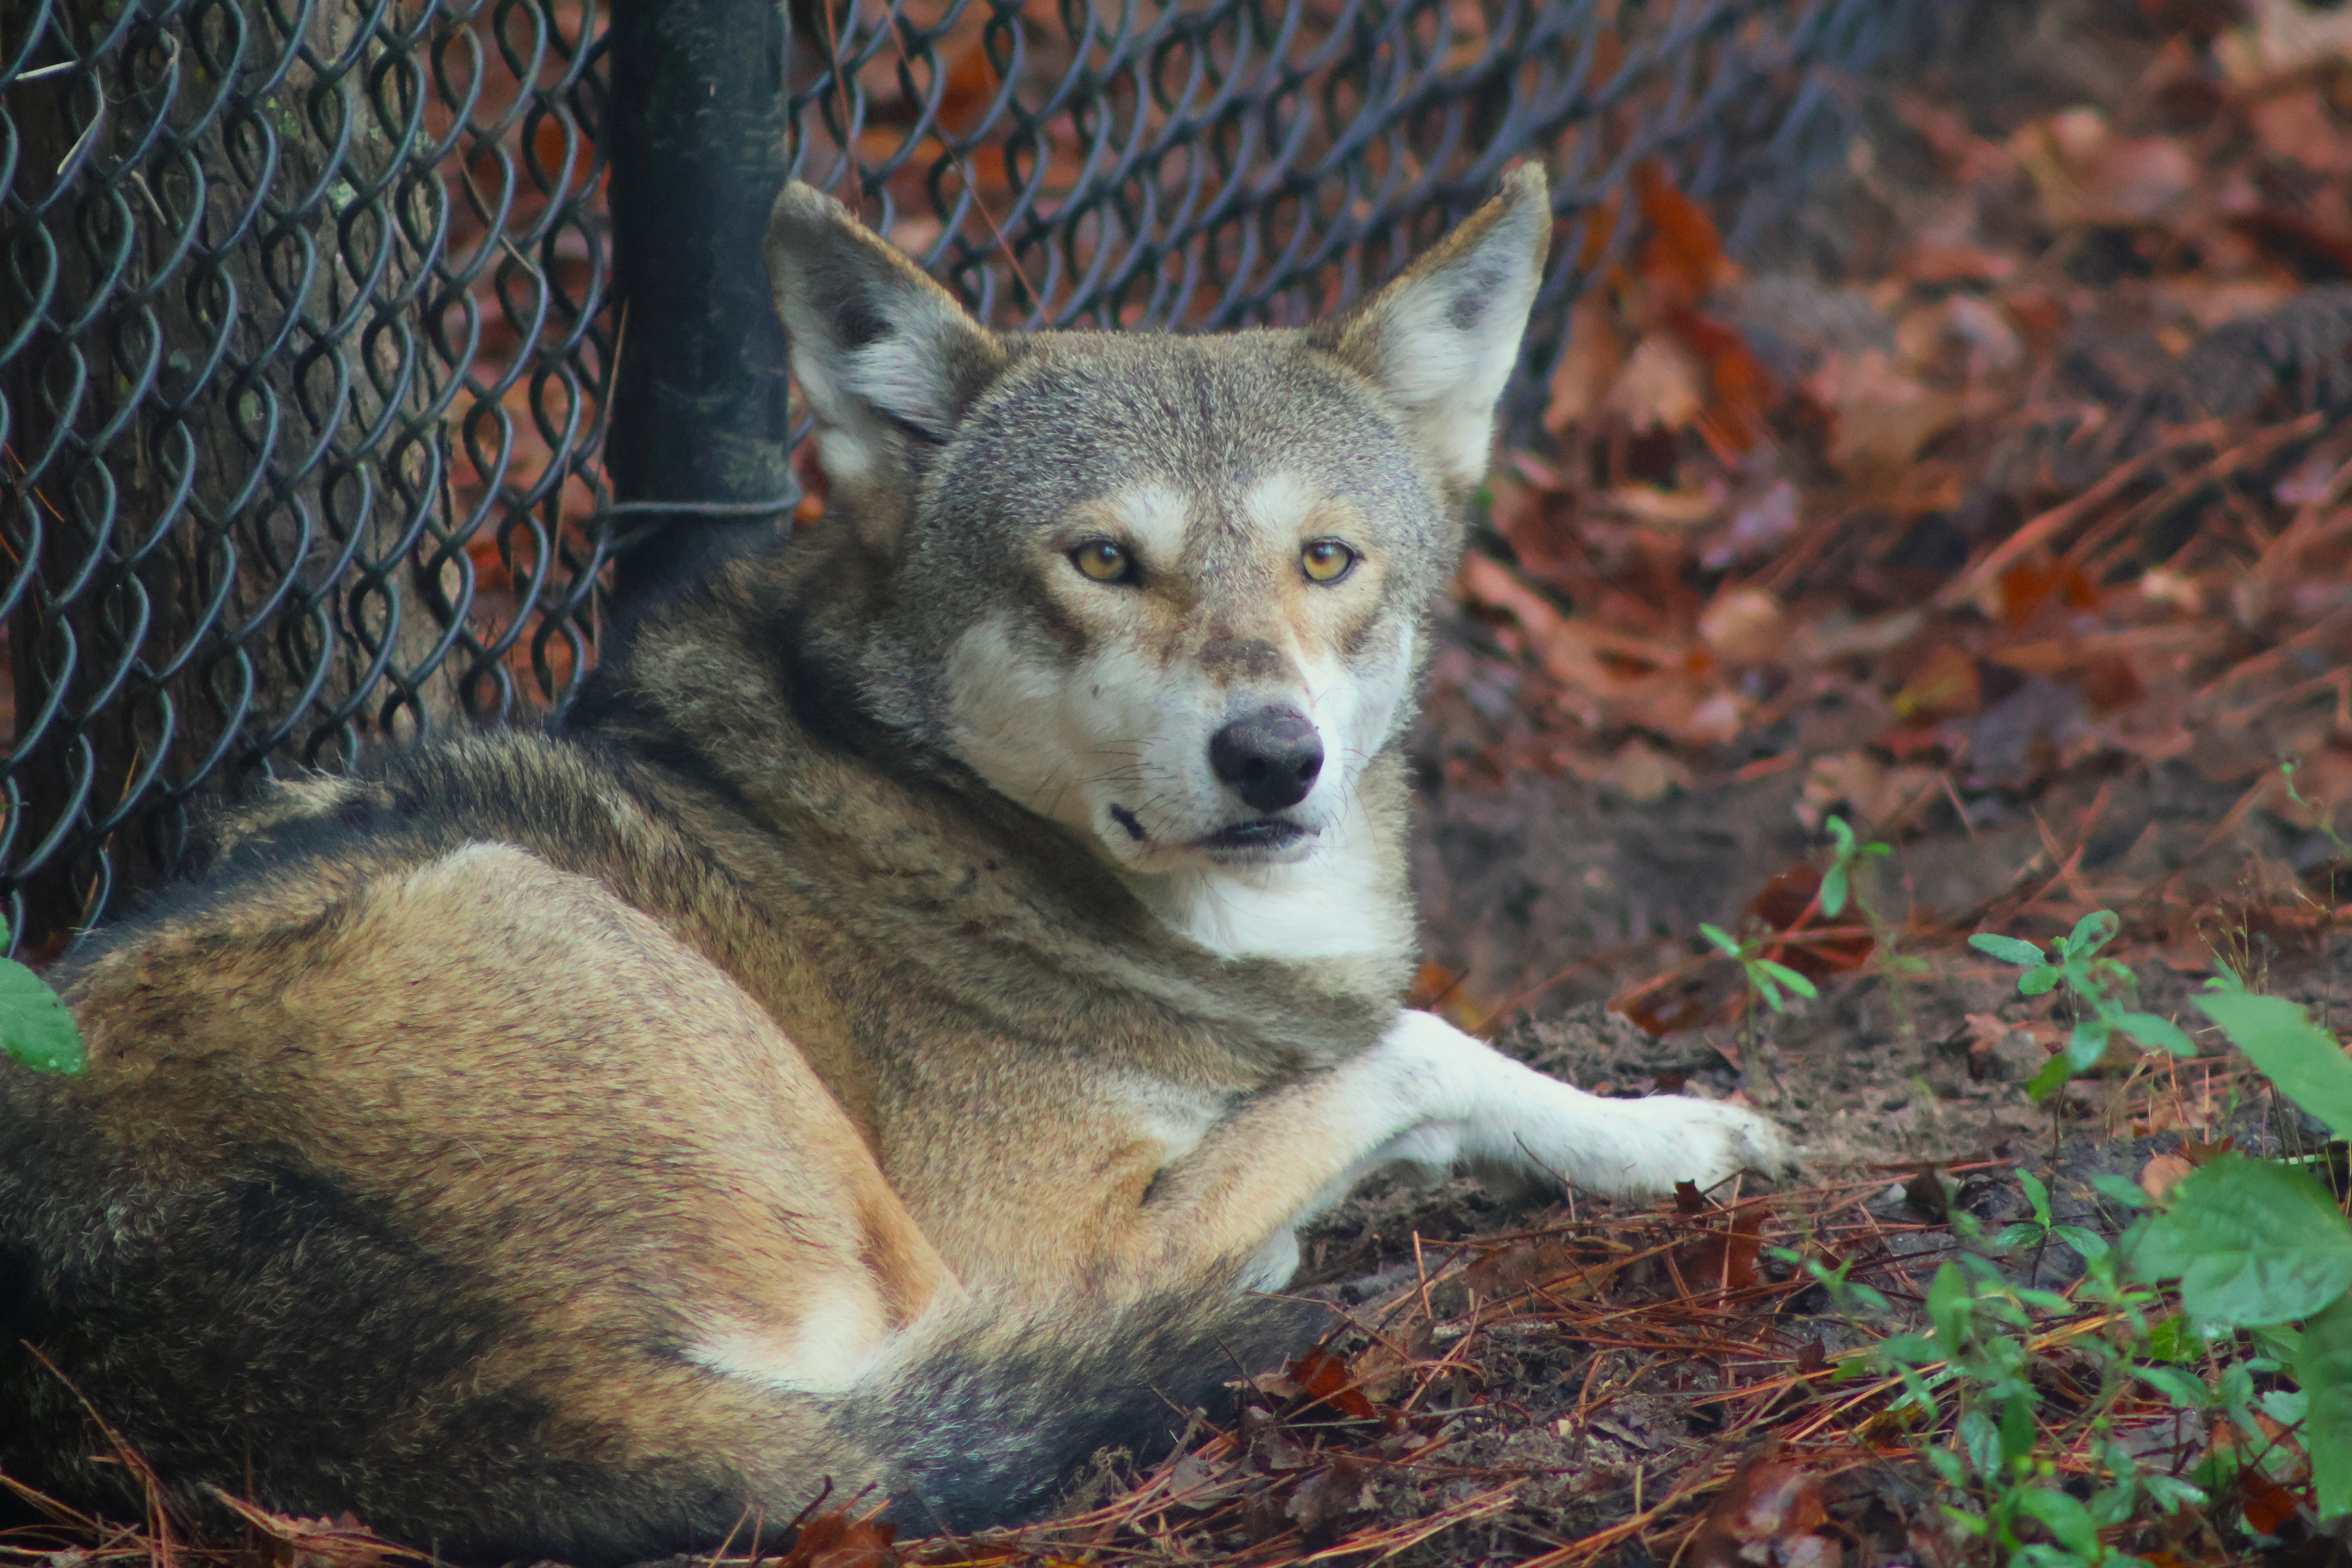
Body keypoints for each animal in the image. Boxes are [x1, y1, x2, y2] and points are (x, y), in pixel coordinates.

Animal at [0, 166, 1786, 1564]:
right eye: (1103, 560)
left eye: (1326, 558)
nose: (1274, 756)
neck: (962, 824)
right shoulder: (1052, 1238)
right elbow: (1408, 1049)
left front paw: (1669, 1133)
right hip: (626, 1001)